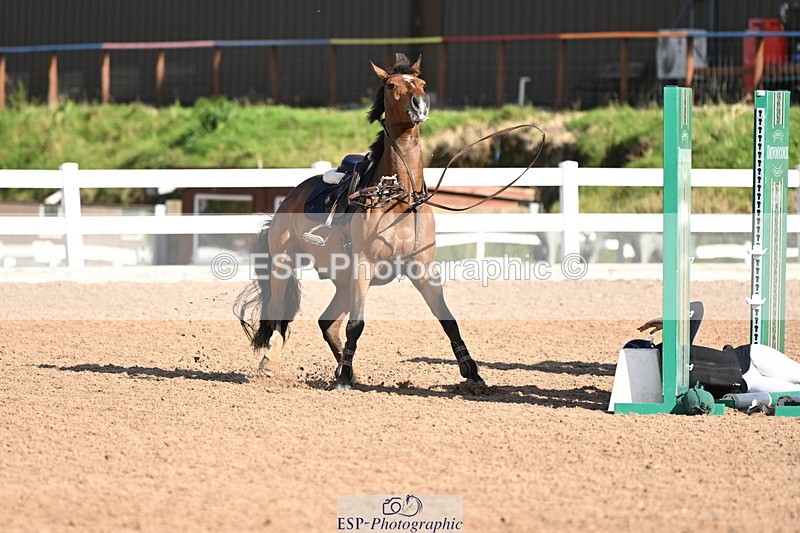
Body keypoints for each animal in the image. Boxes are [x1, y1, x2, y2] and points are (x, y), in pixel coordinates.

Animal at [236, 53, 483, 389]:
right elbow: (356, 324)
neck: (398, 199)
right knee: (277, 311)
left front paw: (473, 372)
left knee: (327, 321)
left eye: (422, 82)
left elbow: (449, 320)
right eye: (391, 85)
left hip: (341, 280)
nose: (420, 104)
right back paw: (273, 361)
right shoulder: (363, 267)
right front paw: (342, 379)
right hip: (284, 263)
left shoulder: (423, 269)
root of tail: (291, 197)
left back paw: (348, 368)